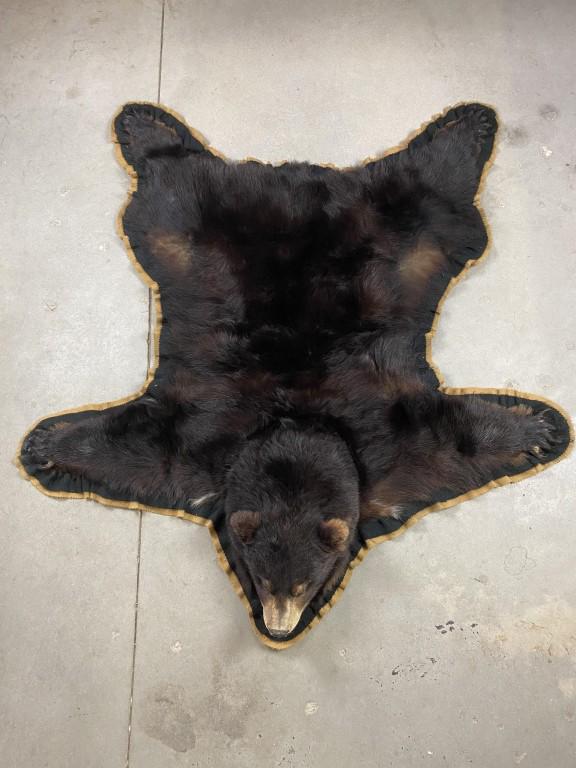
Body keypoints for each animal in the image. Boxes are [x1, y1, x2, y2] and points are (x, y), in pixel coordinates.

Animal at [21, 102, 563, 639]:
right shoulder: (193, 446)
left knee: (427, 179)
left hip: (407, 232)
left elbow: (460, 438)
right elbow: (129, 443)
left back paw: (468, 122)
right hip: (191, 231)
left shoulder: (398, 446)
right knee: (175, 178)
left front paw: (541, 429)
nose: (279, 630)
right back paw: (145, 124)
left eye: (305, 584)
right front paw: (44, 446)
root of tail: (298, 184)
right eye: (260, 578)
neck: (294, 425)